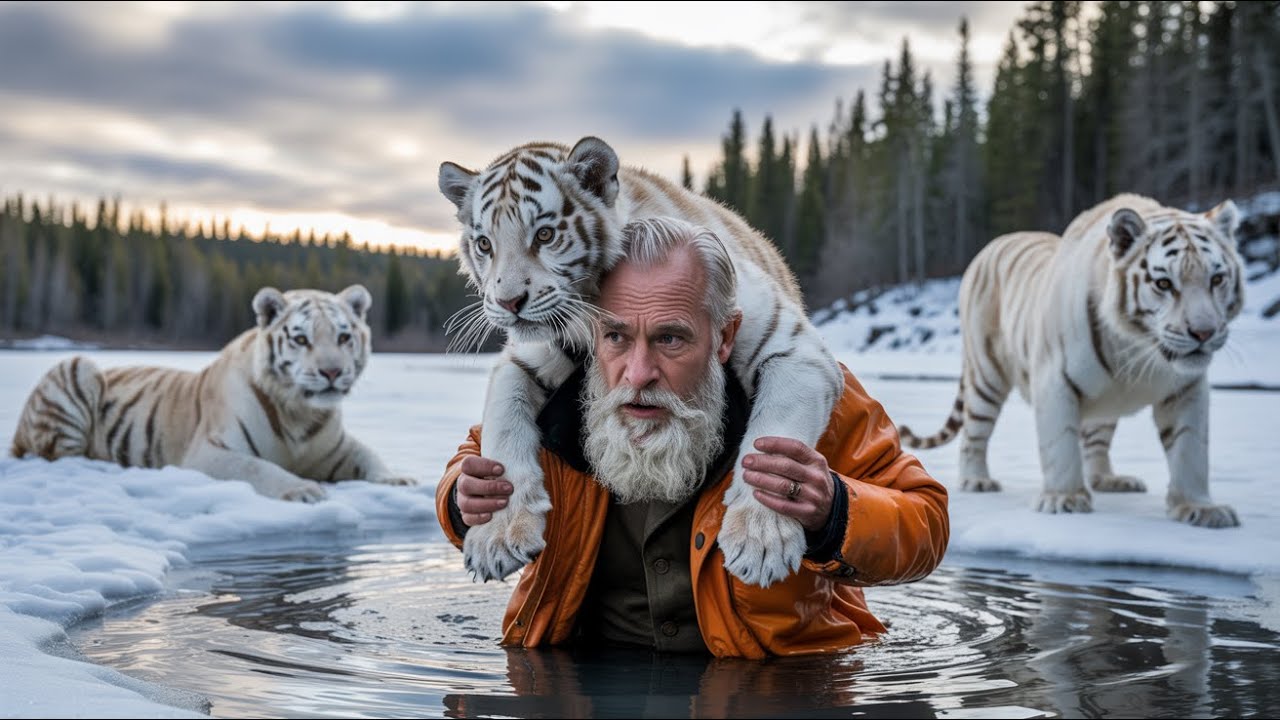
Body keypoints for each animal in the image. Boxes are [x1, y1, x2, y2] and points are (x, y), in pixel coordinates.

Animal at [10, 284, 414, 502]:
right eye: (301, 339)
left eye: (344, 337)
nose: (332, 372)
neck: (301, 413)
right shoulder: (208, 451)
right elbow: (257, 466)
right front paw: (303, 489)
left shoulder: (337, 447)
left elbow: (369, 455)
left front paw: (399, 479)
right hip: (79, 366)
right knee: (59, 452)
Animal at [900, 193, 1244, 528]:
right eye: (1163, 283)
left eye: (1217, 279)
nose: (1203, 333)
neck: (1137, 345)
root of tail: (991, 246)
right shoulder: (1054, 379)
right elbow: (1060, 443)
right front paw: (1064, 499)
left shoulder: (1187, 388)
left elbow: (1191, 448)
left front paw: (1200, 508)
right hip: (987, 373)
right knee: (975, 431)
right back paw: (976, 481)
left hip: (1105, 404)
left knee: (1096, 444)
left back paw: (1109, 480)